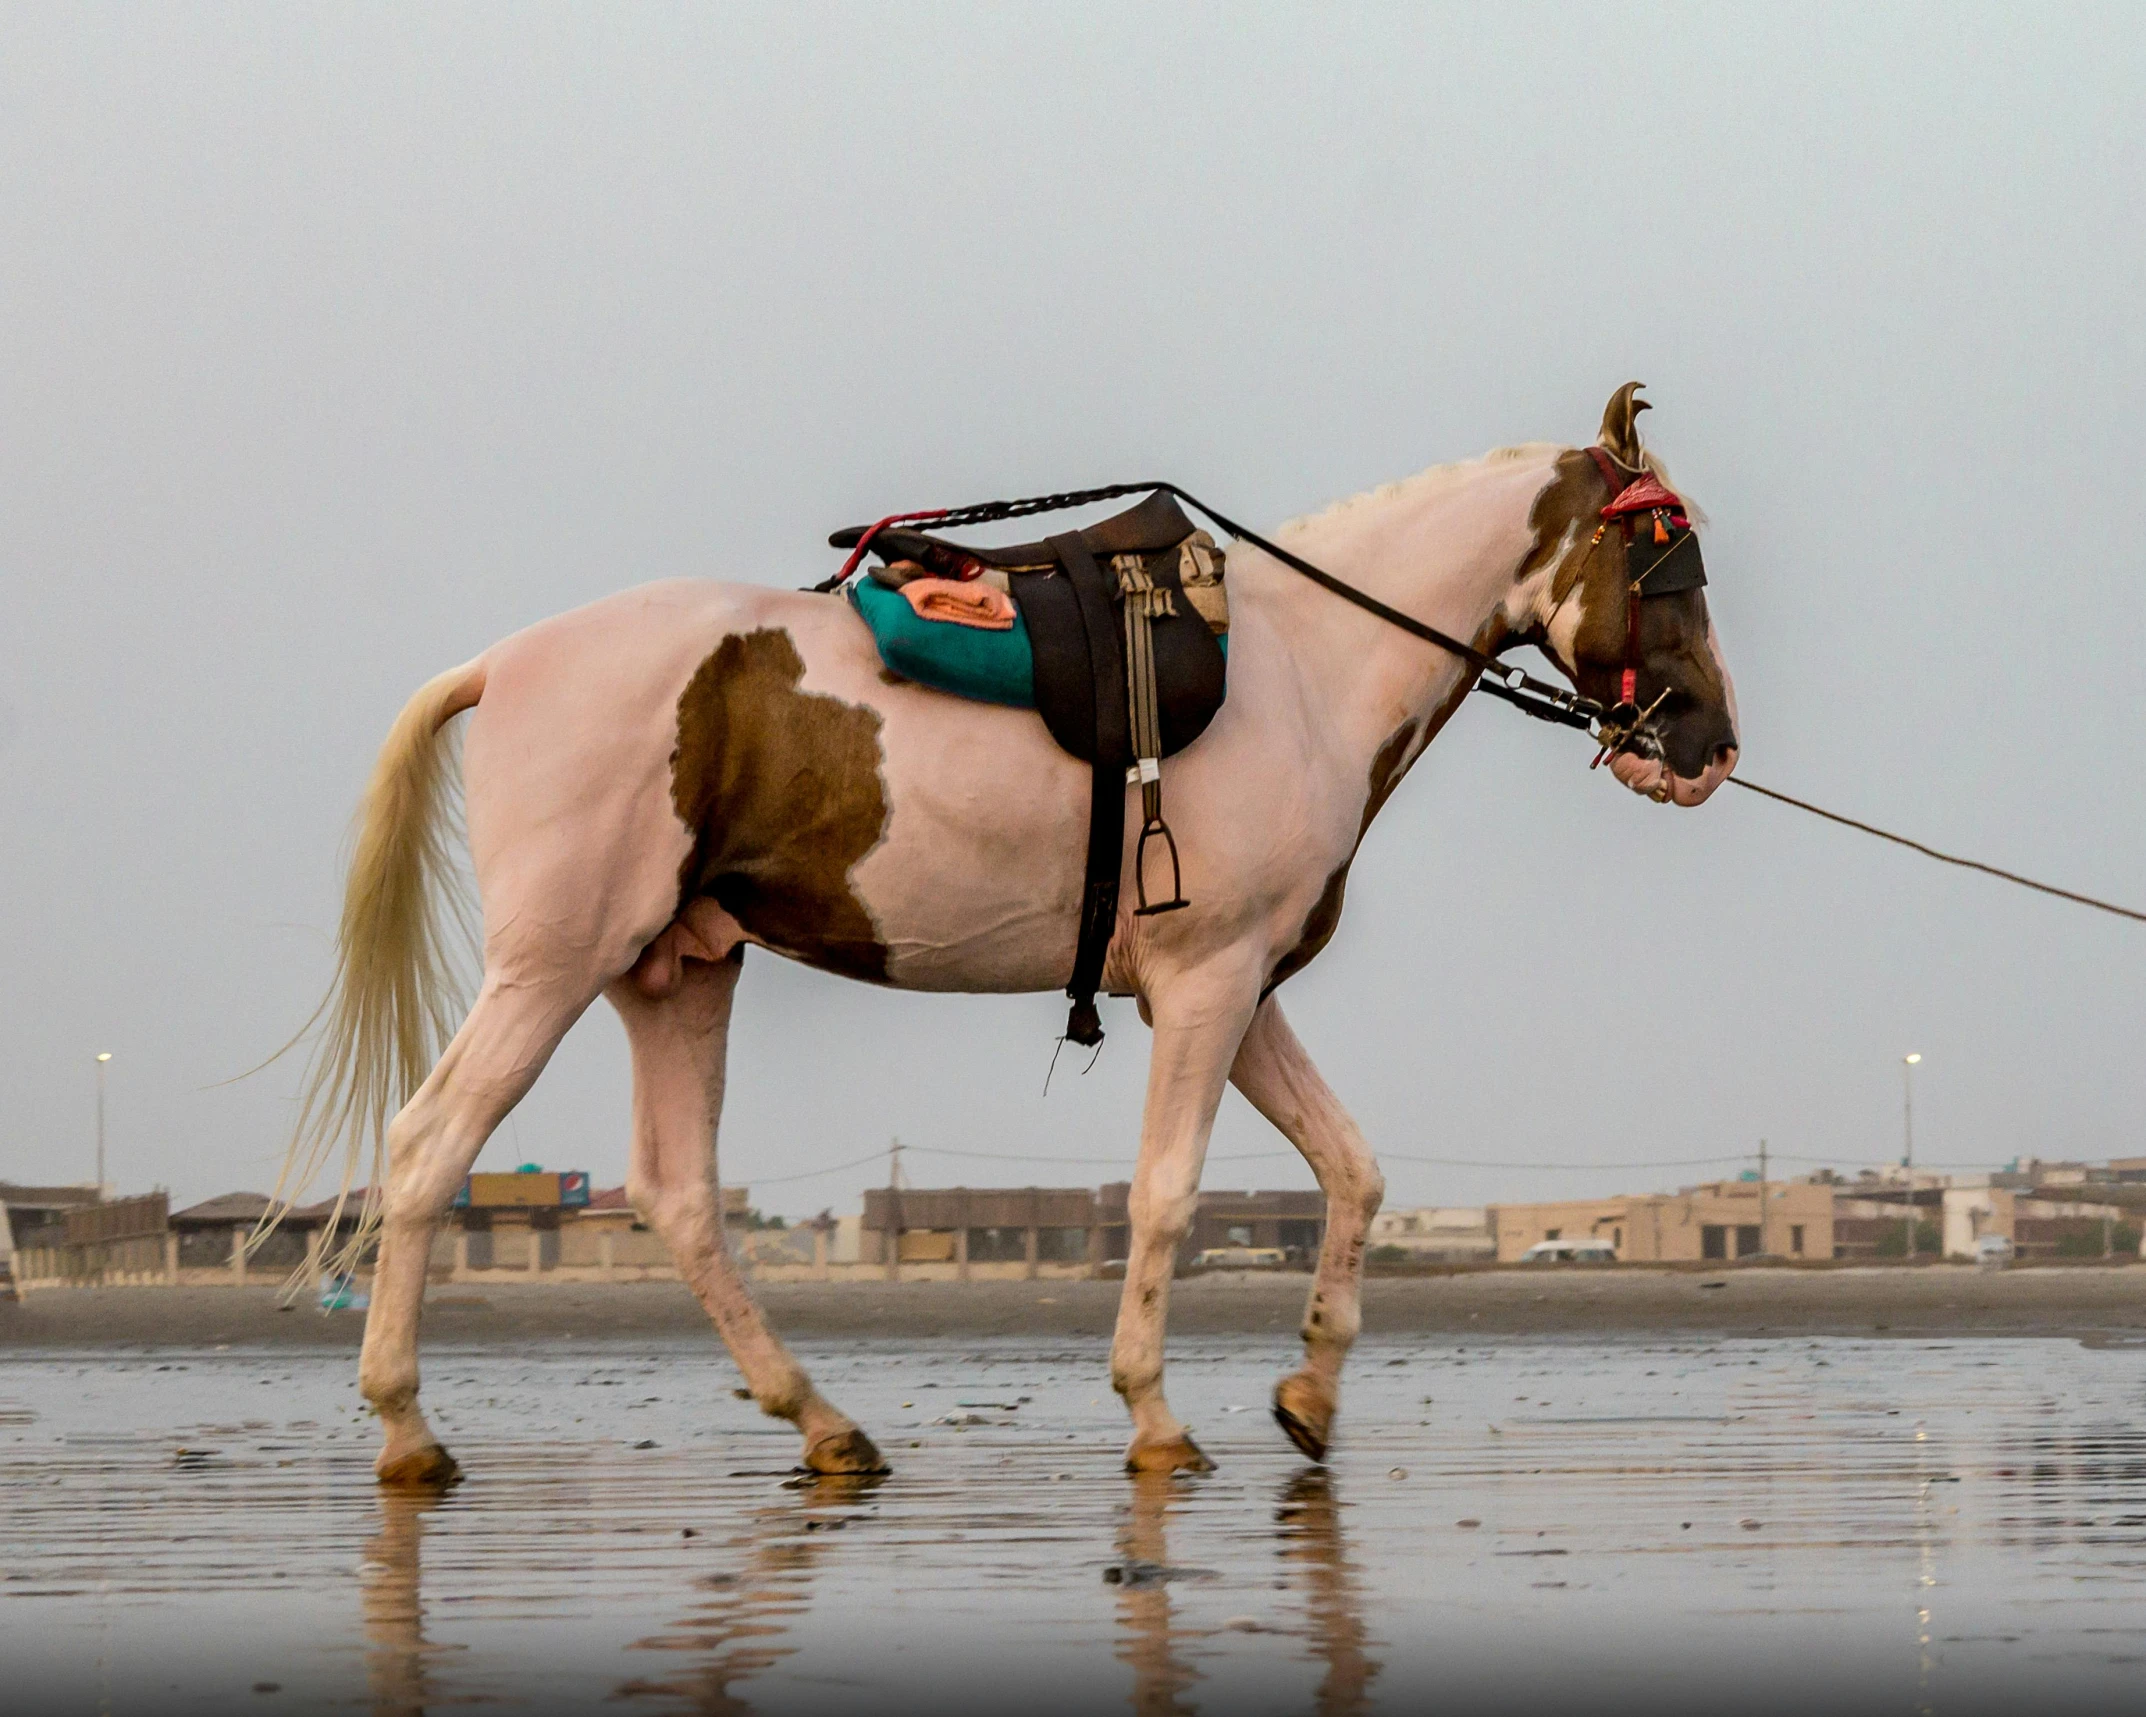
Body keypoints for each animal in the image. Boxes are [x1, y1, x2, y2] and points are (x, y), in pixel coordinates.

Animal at [285, 382, 1733, 1485]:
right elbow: (1165, 1196)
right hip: (553, 967)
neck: (1305, 672)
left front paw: (1310, 1390)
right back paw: (407, 1429)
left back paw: (822, 1423)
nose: (1709, 745)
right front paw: (1154, 1414)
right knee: (426, 1150)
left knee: (680, 1197)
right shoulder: (1204, 991)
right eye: (1667, 562)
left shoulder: (1240, 993)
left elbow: (1353, 1169)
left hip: (675, 971)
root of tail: (503, 663)